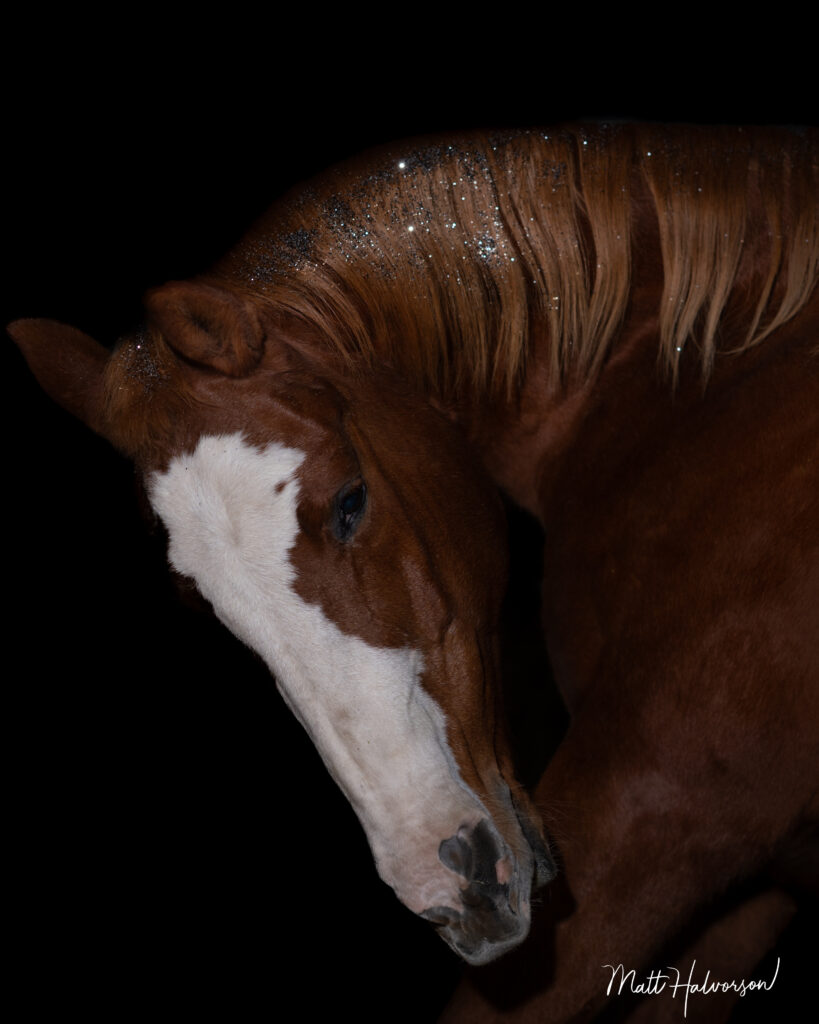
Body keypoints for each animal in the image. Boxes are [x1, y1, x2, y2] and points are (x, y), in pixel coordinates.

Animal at [9, 123, 818, 1021]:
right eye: (200, 602)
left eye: (349, 502)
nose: (447, 887)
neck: (705, 377)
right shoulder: (734, 895)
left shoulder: (658, 804)